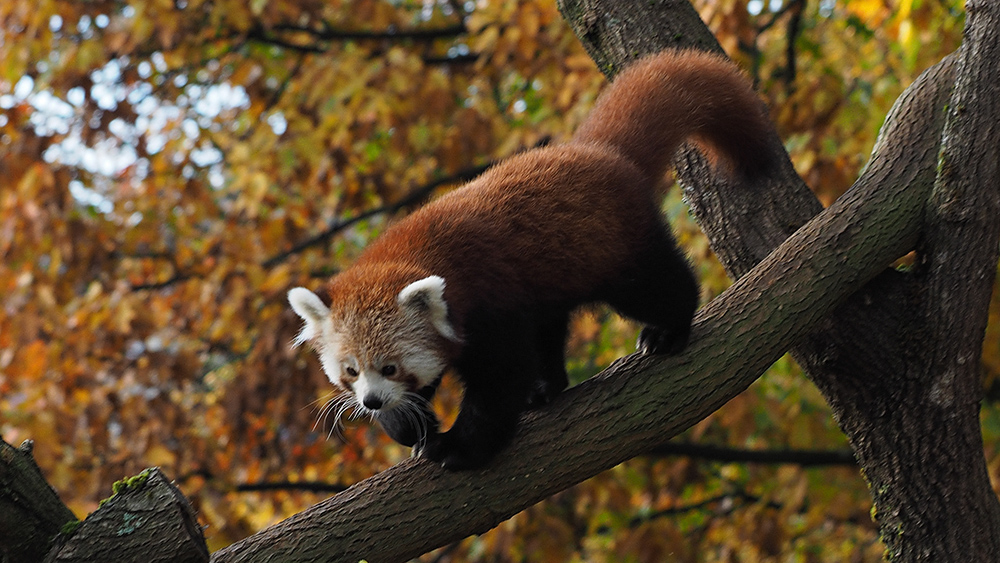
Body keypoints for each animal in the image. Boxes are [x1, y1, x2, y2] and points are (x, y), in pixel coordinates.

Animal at [290, 49, 772, 472]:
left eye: (390, 366)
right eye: (351, 371)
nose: (370, 400)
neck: (413, 252)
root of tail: (598, 152)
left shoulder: (491, 305)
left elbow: (500, 380)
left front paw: (459, 449)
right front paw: (406, 423)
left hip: (615, 249)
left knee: (655, 287)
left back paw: (667, 330)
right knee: (550, 330)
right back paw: (545, 388)